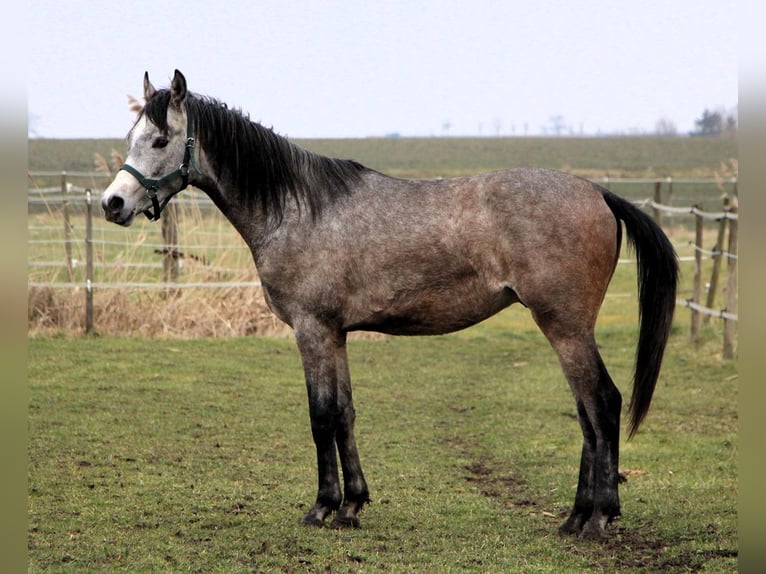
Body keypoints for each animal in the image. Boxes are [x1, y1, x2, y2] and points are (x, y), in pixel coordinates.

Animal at [100, 70, 680, 544]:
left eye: (160, 139)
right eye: (131, 138)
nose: (113, 204)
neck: (298, 209)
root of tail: (598, 193)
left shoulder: (312, 330)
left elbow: (320, 417)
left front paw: (321, 508)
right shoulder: (336, 334)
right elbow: (345, 413)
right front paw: (352, 505)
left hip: (565, 328)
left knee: (602, 404)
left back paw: (600, 516)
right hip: (567, 330)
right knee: (586, 414)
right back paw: (575, 517)